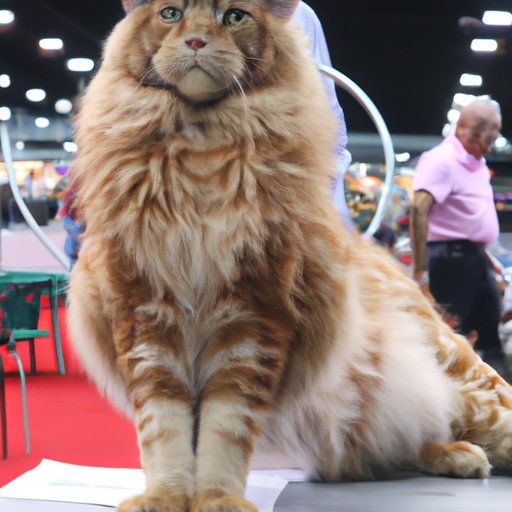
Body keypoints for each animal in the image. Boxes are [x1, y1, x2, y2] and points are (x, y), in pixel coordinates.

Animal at [68, 1, 512, 512]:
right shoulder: (145, 321)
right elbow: (165, 433)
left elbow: (225, 432)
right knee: (410, 435)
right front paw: (165, 497)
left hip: (454, 366)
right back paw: (459, 455)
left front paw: (219, 499)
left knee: (484, 406)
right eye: (171, 14)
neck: (200, 146)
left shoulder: (252, 321)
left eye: (234, 17)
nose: (197, 41)